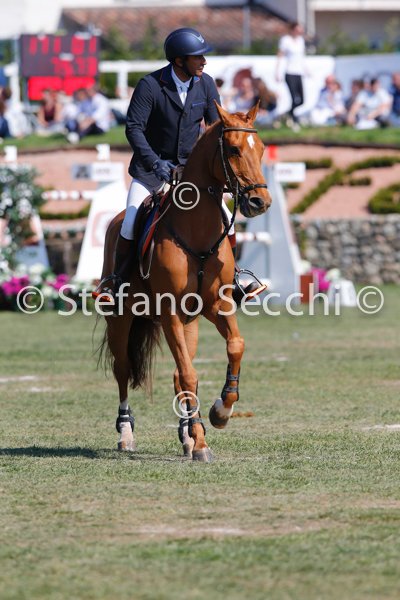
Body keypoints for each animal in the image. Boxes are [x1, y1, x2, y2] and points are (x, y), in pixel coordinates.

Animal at [98, 102, 272, 462]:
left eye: (261, 149)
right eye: (233, 150)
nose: (260, 203)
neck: (197, 230)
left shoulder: (216, 306)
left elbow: (234, 346)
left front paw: (220, 413)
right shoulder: (170, 312)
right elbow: (189, 374)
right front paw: (203, 437)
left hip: (190, 322)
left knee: (180, 375)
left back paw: (188, 435)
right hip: (121, 318)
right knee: (123, 369)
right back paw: (126, 433)